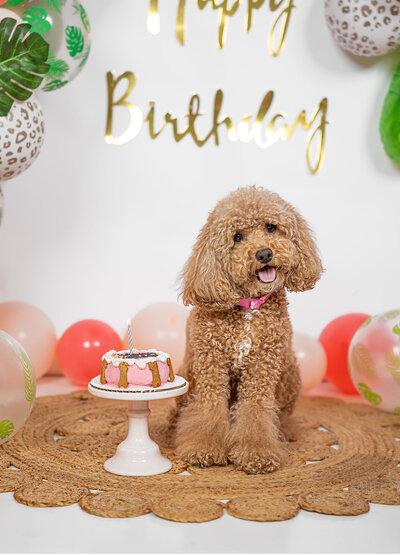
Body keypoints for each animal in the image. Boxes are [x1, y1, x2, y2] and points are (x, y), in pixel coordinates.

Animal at [174, 187, 322, 474]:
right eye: (237, 237)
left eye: (270, 227)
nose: (264, 254)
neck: (248, 307)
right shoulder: (211, 365)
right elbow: (209, 409)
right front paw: (203, 449)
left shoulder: (262, 366)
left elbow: (255, 410)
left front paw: (257, 453)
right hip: (188, 374)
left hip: (290, 375)